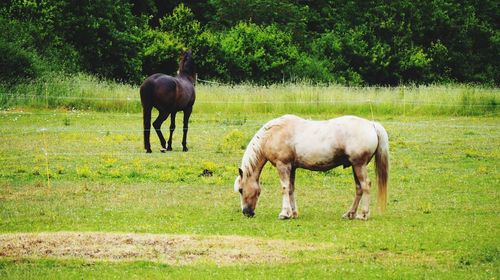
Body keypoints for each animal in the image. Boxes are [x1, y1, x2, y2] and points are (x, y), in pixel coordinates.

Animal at [234, 115, 390, 220]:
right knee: (359, 188)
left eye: (241, 190)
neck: (274, 133)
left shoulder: (283, 165)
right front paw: (293, 213)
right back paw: (349, 214)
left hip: (359, 165)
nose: (246, 212)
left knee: (366, 186)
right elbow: (290, 189)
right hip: (355, 166)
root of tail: (371, 124)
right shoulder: (292, 167)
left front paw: (284, 213)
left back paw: (363, 215)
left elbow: (284, 188)